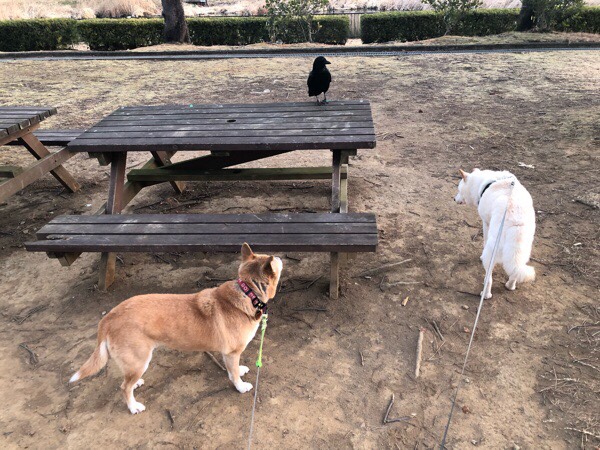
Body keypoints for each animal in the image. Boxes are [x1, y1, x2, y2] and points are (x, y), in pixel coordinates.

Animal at [69, 243, 283, 414]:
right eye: (272, 259)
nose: (280, 256)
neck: (248, 292)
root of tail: (109, 318)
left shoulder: (229, 354)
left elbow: (235, 369)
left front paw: (241, 370)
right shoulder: (231, 353)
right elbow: (234, 374)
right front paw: (241, 386)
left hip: (134, 363)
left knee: (127, 381)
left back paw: (136, 383)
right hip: (140, 360)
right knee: (123, 387)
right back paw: (133, 406)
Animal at [454, 169, 535, 299]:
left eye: (459, 189)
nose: (454, 198)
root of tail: (516, 223)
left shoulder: (485, 222)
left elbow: (484, 239)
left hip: (491, 255)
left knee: (489, 279)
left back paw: (485, 294)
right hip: (522, 254)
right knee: (515, 272)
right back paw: (510, 286)